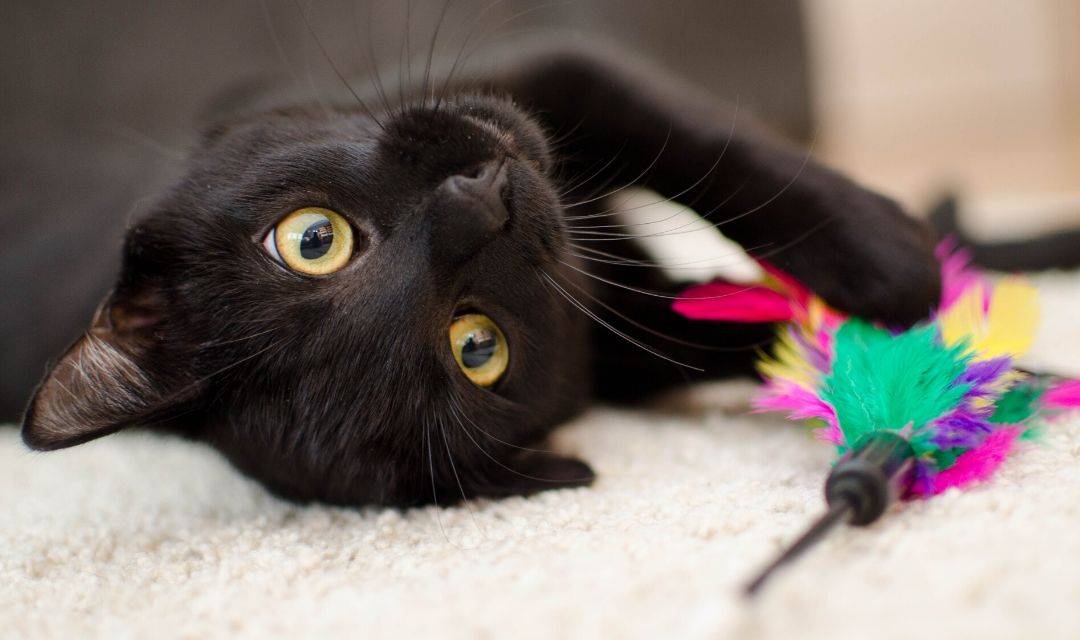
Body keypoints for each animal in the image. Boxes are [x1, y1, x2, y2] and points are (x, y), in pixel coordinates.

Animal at [16, 43, 937, 505]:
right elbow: (736, 327)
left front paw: (892, 260)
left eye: (313, 239)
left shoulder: (553, 67)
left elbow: (701, 142)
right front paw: (912, 342)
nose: (481, 205)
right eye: (476, 347)